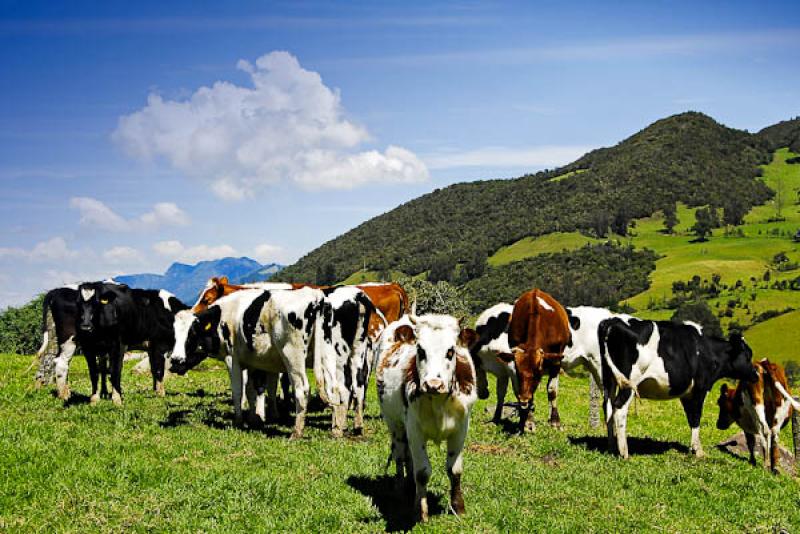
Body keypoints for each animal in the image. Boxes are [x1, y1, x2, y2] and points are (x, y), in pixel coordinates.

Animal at [376, 316, 476, 524]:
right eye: (420, 350)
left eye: (451, 351)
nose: (433, 384)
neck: (439, 402)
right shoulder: (414, 430)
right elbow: (422, 472)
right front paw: (420, 512)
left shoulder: (460, 429)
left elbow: (454, 470)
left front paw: (458, 507)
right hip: (395, 424)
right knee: (400, 455)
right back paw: (401, 488)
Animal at [504, 292, 572, 434]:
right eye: (518, 373)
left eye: (536, 374)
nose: (523, 399)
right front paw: (528, 422)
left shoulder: (556, 360)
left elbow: (552, 390)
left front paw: (555, 422)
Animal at [600, 318, 756, 460]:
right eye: (748, 356)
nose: (755, 374)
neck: (708, 351)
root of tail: (612, 322)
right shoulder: (700, 388)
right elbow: (696, 417)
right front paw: (697, 451)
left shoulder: (686, 394)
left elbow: (691, 418)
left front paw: (695, 447)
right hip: (629, 382)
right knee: (619, 408)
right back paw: (624, 452)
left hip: (608, 380)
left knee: (608, 408)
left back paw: (611, 447)